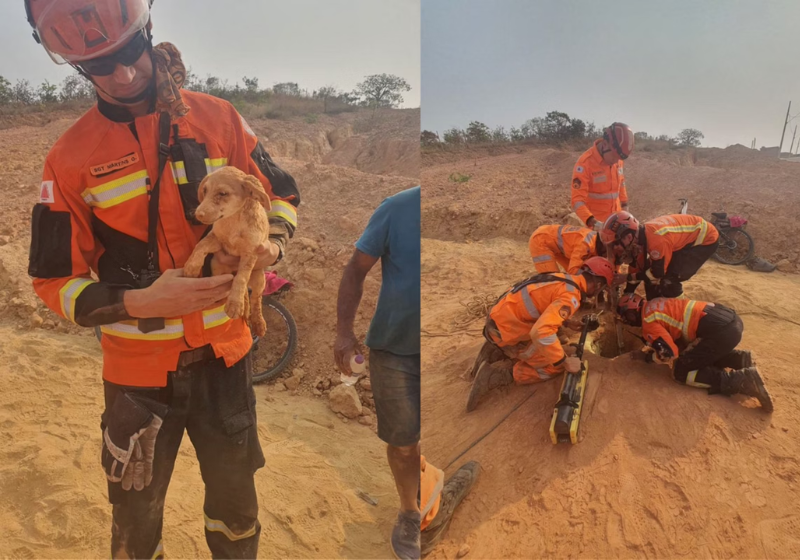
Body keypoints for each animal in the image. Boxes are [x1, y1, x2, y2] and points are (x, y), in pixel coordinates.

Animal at [182, 164, 272, 334]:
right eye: (205, 190)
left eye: (223, 193)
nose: (198, 215)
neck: (234, 221)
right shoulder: (217, 240)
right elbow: (200, 245)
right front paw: (191, 267)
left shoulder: (250, 252)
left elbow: (241, 278)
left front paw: (235, 304)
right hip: (218, 269)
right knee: (244, 294)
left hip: (259, 278)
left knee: (256, 298)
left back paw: (258, 322)